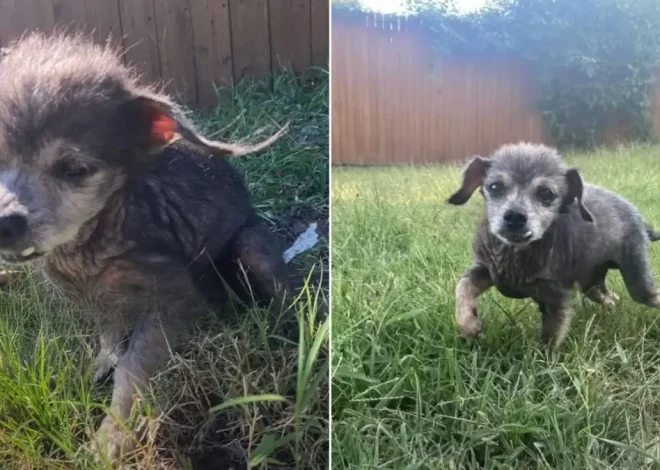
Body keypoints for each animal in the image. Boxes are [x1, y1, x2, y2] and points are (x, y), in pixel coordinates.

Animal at [0, 35, 292, 460]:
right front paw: (102, 362)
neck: (88, 247)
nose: (4, 223)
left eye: (74, 170)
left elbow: (133, 370)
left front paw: (110, 440)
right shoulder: (92, 296)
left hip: (252, 247)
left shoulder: (172, 298)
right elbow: (109, 332)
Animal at [448, 143, 660, 348]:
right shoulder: (485, 270)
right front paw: (468, 324)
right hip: (591, 281)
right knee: (607, 296)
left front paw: (539, 360)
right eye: (494, 186)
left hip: (638, 282)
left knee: (649, 295)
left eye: (546, 193)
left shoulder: (558, 300)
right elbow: (462, 287)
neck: (515, 255)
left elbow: (549, 341)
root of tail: (640, 219)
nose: (514, 217)